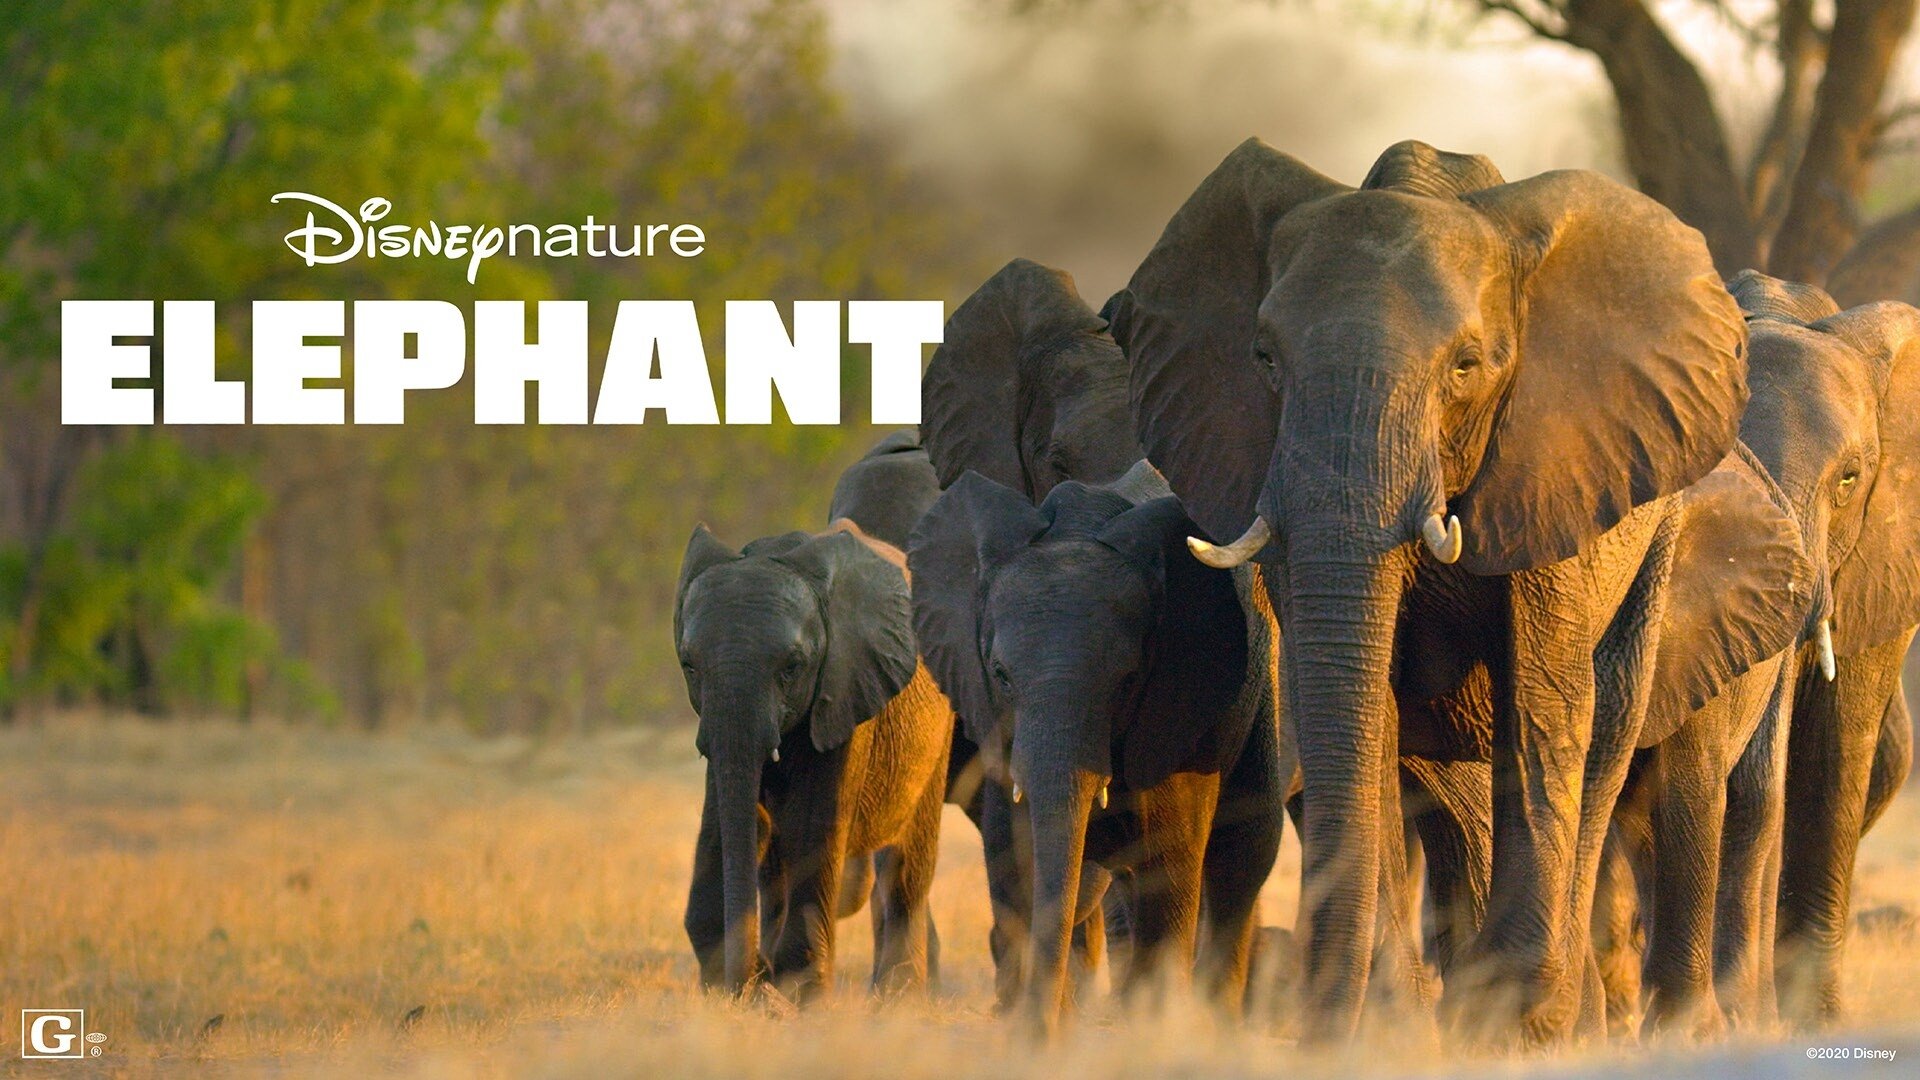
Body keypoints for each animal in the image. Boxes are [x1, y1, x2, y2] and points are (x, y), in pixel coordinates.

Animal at [677, 515, 953, 1003]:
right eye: (689, 666)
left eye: (792, 667)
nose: (751, 980)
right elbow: (722, 824)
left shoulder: (845, 687)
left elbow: (814, 825)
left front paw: (797, 995)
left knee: (908, 862)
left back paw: (897, 997)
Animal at [908, 459, 1285, 1035]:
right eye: (1000, 674)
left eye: (1128, 681)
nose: (1041, 1031)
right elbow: (1015, 857)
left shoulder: (1180, 698)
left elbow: (1169, 858)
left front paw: (1150, 1030)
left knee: (1243, 850)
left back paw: (1215, 1021)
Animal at [1107, 137, 1752, 1043]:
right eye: (1264, 359)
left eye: (1466, 367)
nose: (1314, 1018)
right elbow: (1356, 703)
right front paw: (1399, 1026)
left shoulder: (1552, 463)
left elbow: (1543, 703)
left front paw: (1510, 1018)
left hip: (1659, 531)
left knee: (1606, 728)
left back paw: (1561, 1014)